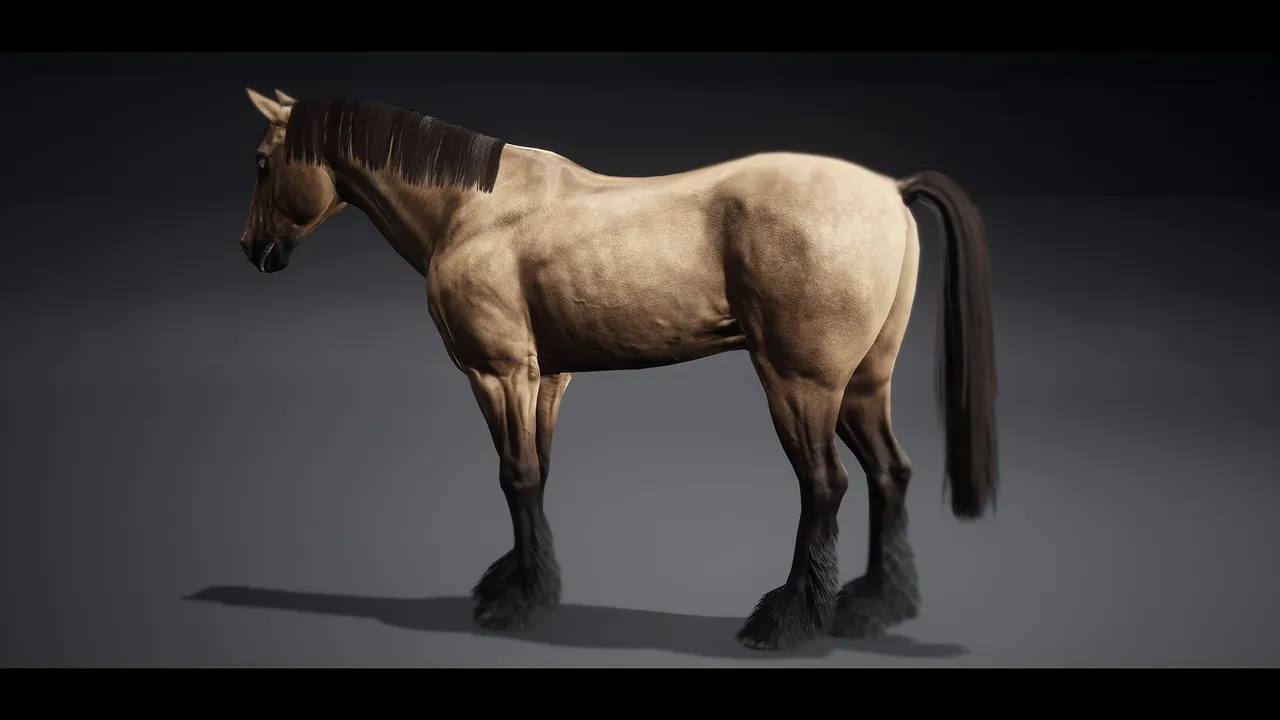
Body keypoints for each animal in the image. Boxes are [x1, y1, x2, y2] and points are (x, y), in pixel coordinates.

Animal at [237, 87, 999, 651]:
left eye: (262, 162)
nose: (252, 249)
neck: (471, 209)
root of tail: (890, 189)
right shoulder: (545, 379)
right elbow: (537, 475)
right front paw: (524, 582)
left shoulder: (497, 373)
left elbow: (514, 476)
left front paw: (514, 604)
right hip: (863, 384)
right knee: (889, 473)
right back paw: (870, 606)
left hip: (801, 384)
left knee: (825, 485)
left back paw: (785, 621)